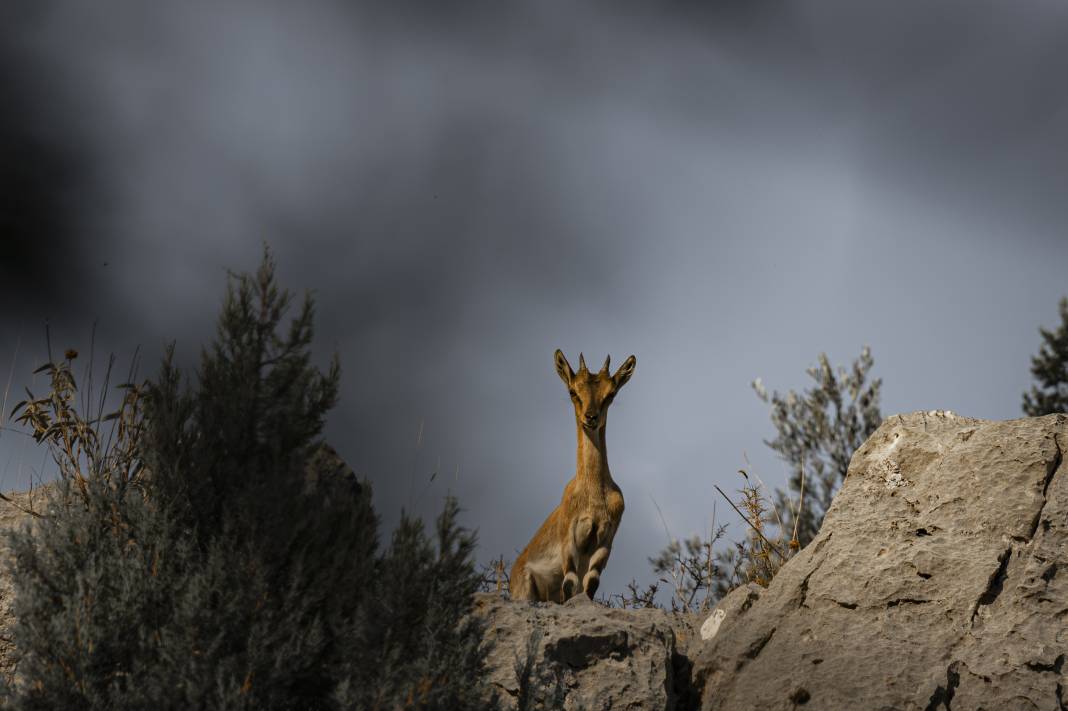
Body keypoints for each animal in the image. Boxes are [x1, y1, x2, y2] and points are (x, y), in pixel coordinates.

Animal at [508, 348, 632, 597]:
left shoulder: (605, 544)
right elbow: (570, 581)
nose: (591, 418)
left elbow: (590, 583)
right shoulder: (569, 540)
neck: (593, 495)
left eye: (610, 393)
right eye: (573, 391)